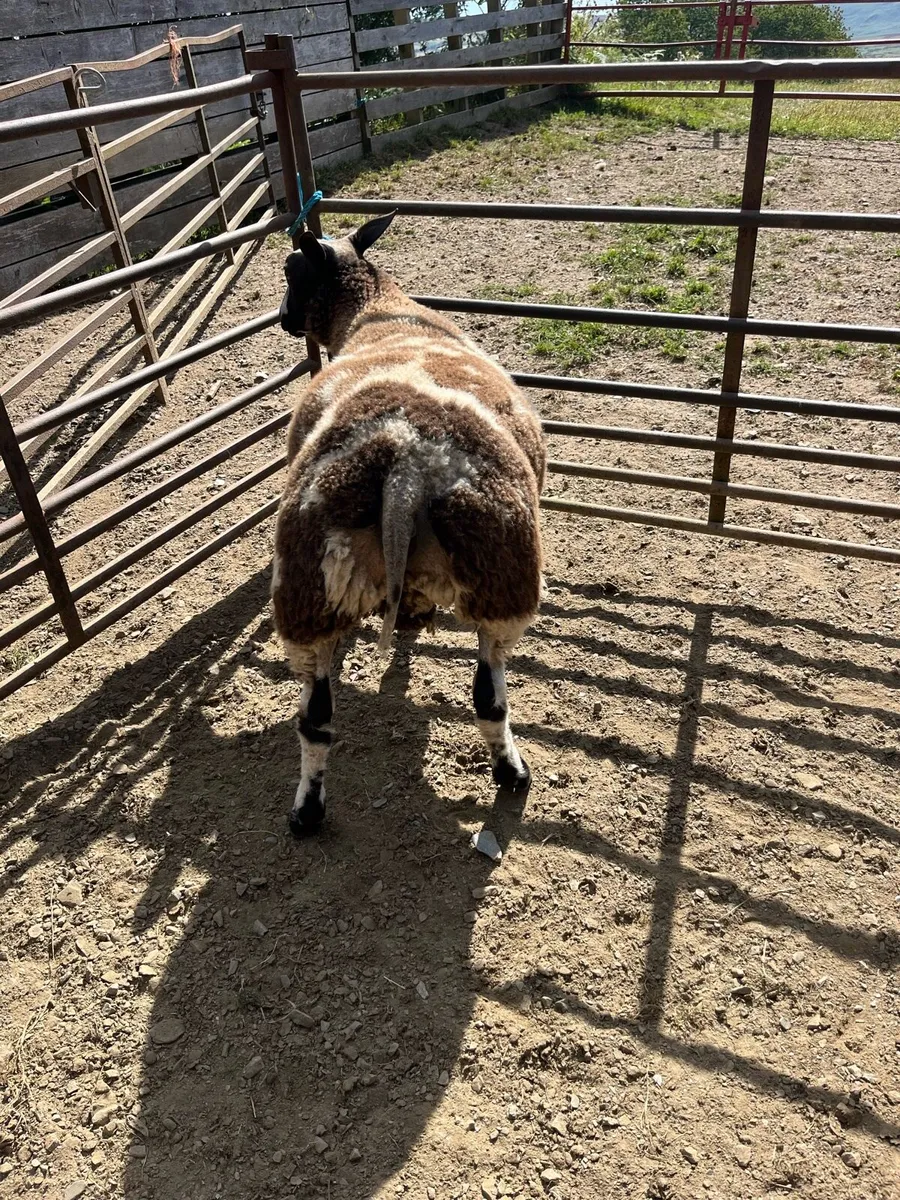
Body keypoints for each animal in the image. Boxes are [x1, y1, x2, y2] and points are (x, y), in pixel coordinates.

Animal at [272, 212, 545, 837]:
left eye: (292, 272)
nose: (283, 318)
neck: (379, 308)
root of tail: (405, 466)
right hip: (505, 576)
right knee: (489, 694)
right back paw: (511, 772)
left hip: (310, 592)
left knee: (315, 720)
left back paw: (307, 811)